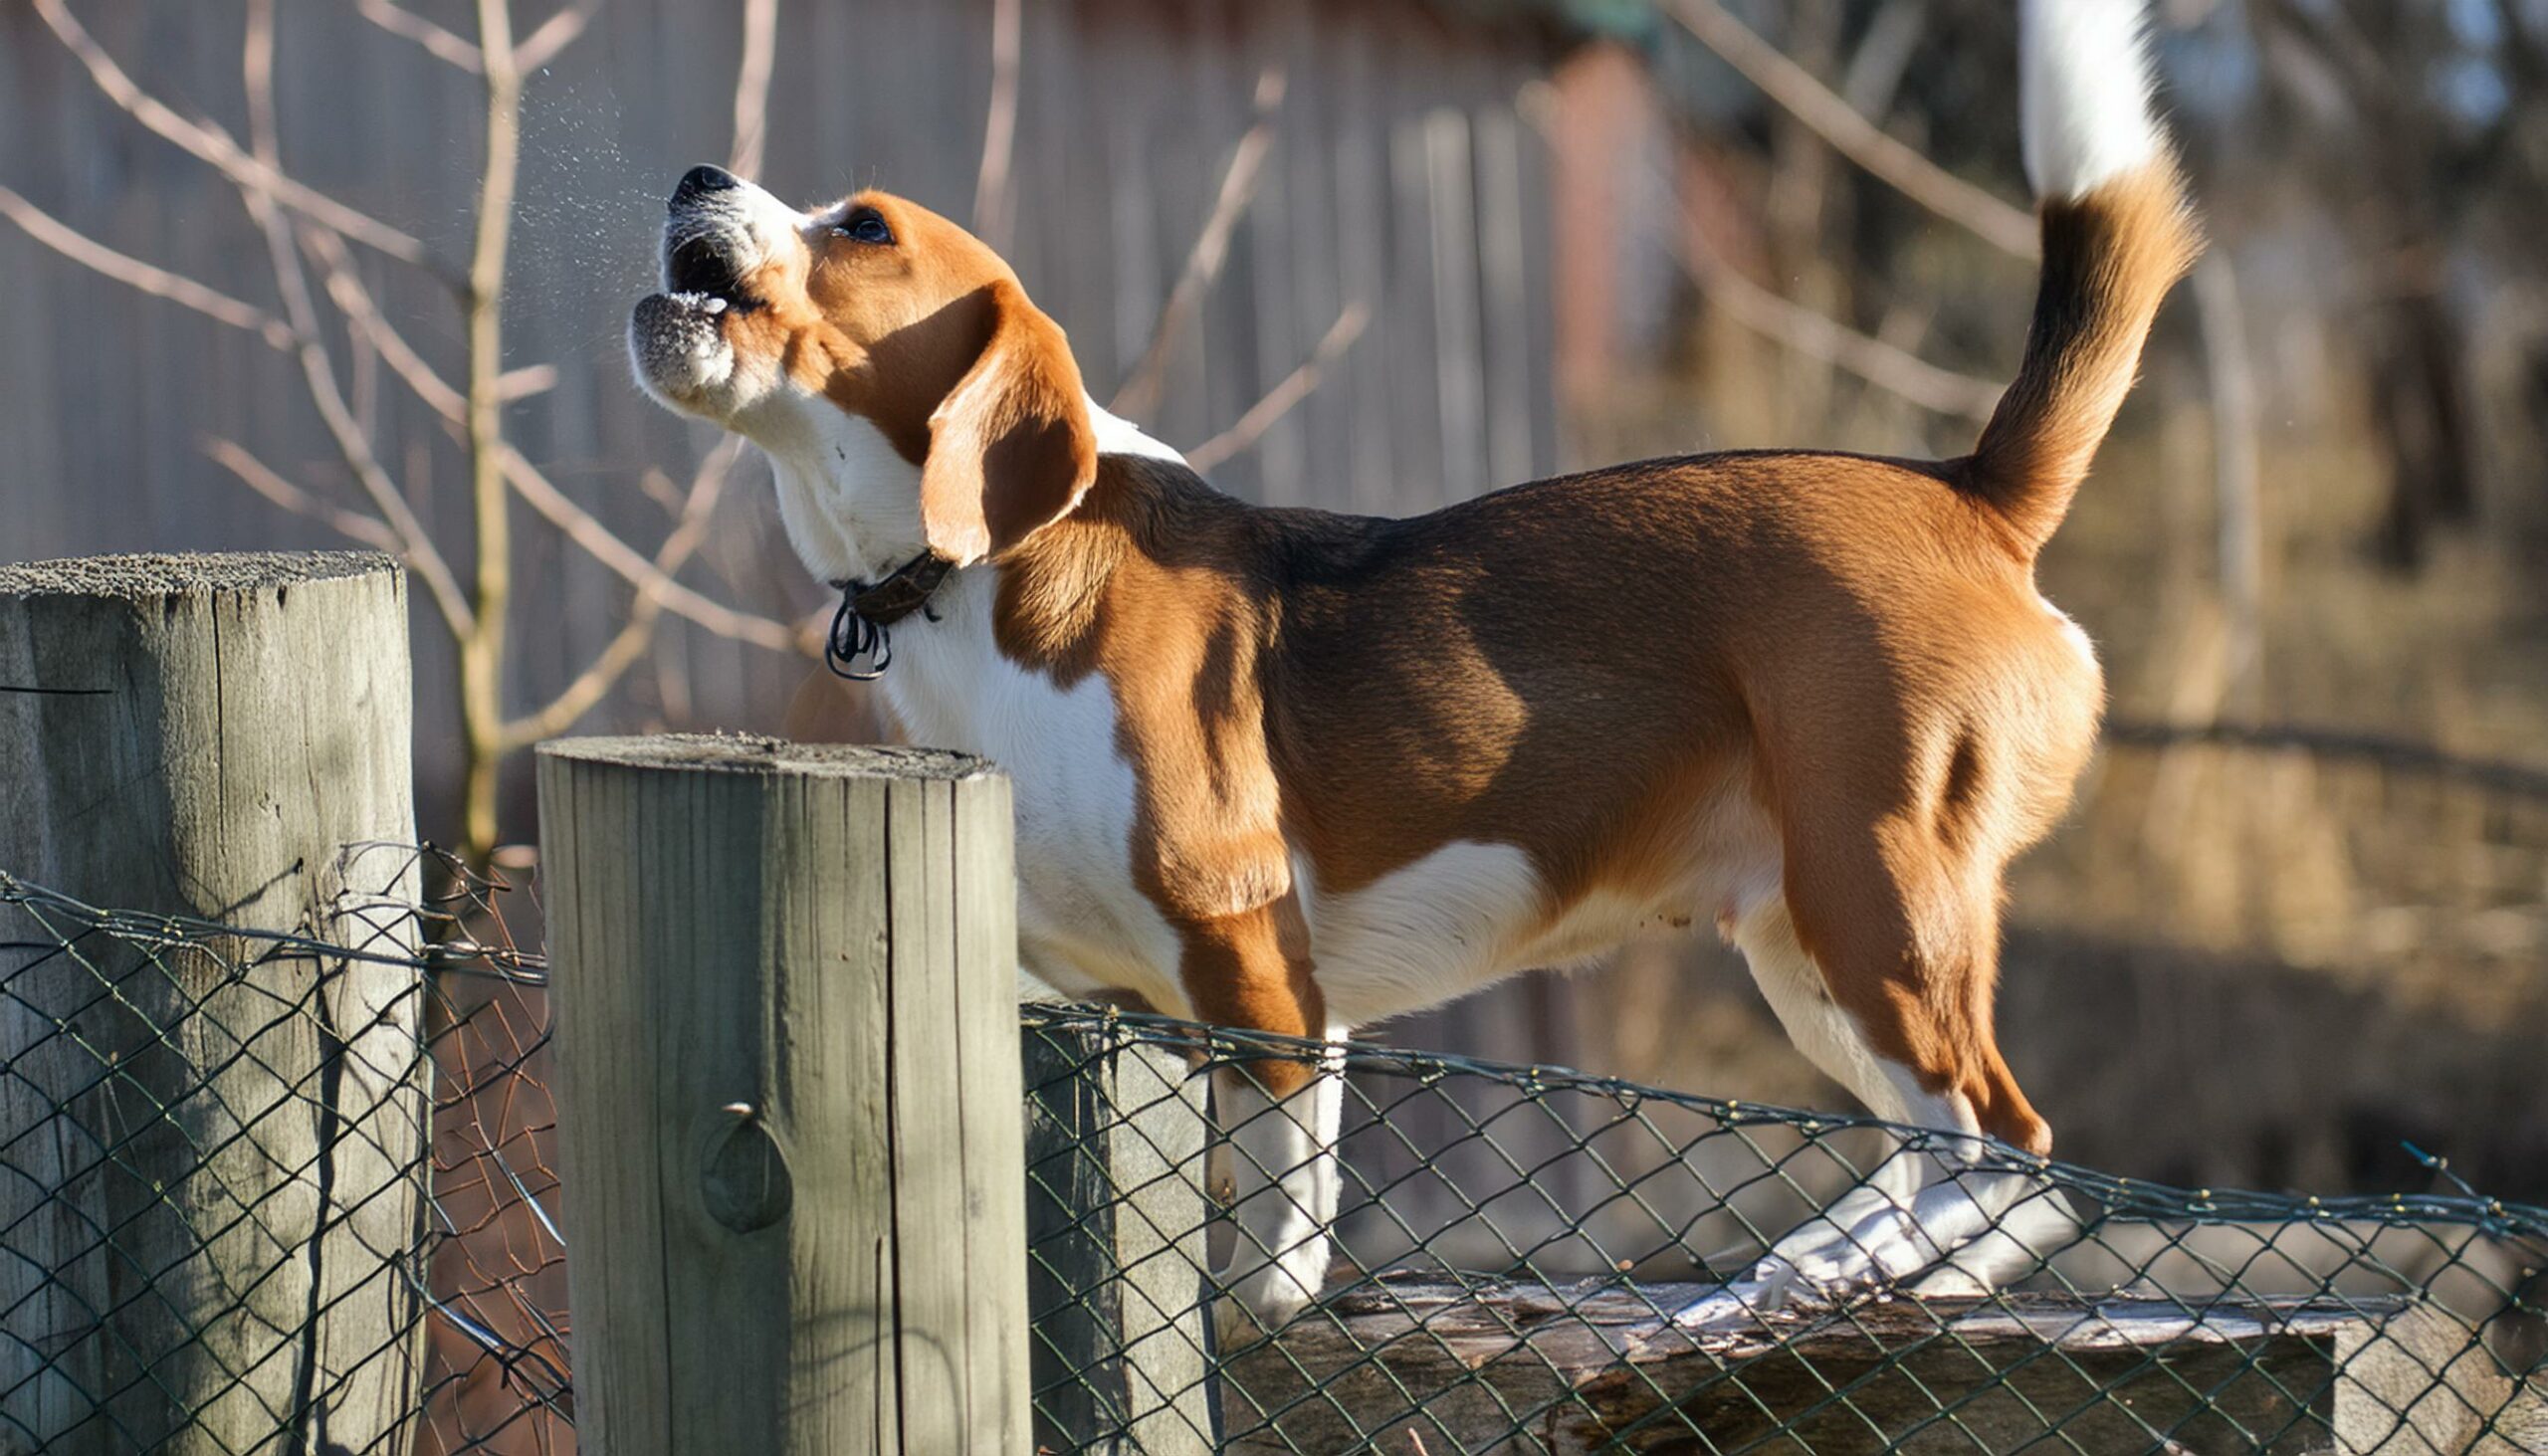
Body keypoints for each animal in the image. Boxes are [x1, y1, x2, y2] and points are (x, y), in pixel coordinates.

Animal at [631, 0, 2191, 1336]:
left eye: (862, 224)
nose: (691, 171)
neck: (969, 578)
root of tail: (1966, 491)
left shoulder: (1257, 968)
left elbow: (1271, 1224)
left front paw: (1253, 1322)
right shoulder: (1083, 1001)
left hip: (1880, 889)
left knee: (2009, 1144)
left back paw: (1860, 1266)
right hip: (1803, 929)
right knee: (1950, 1145)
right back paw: (1829, 1267)